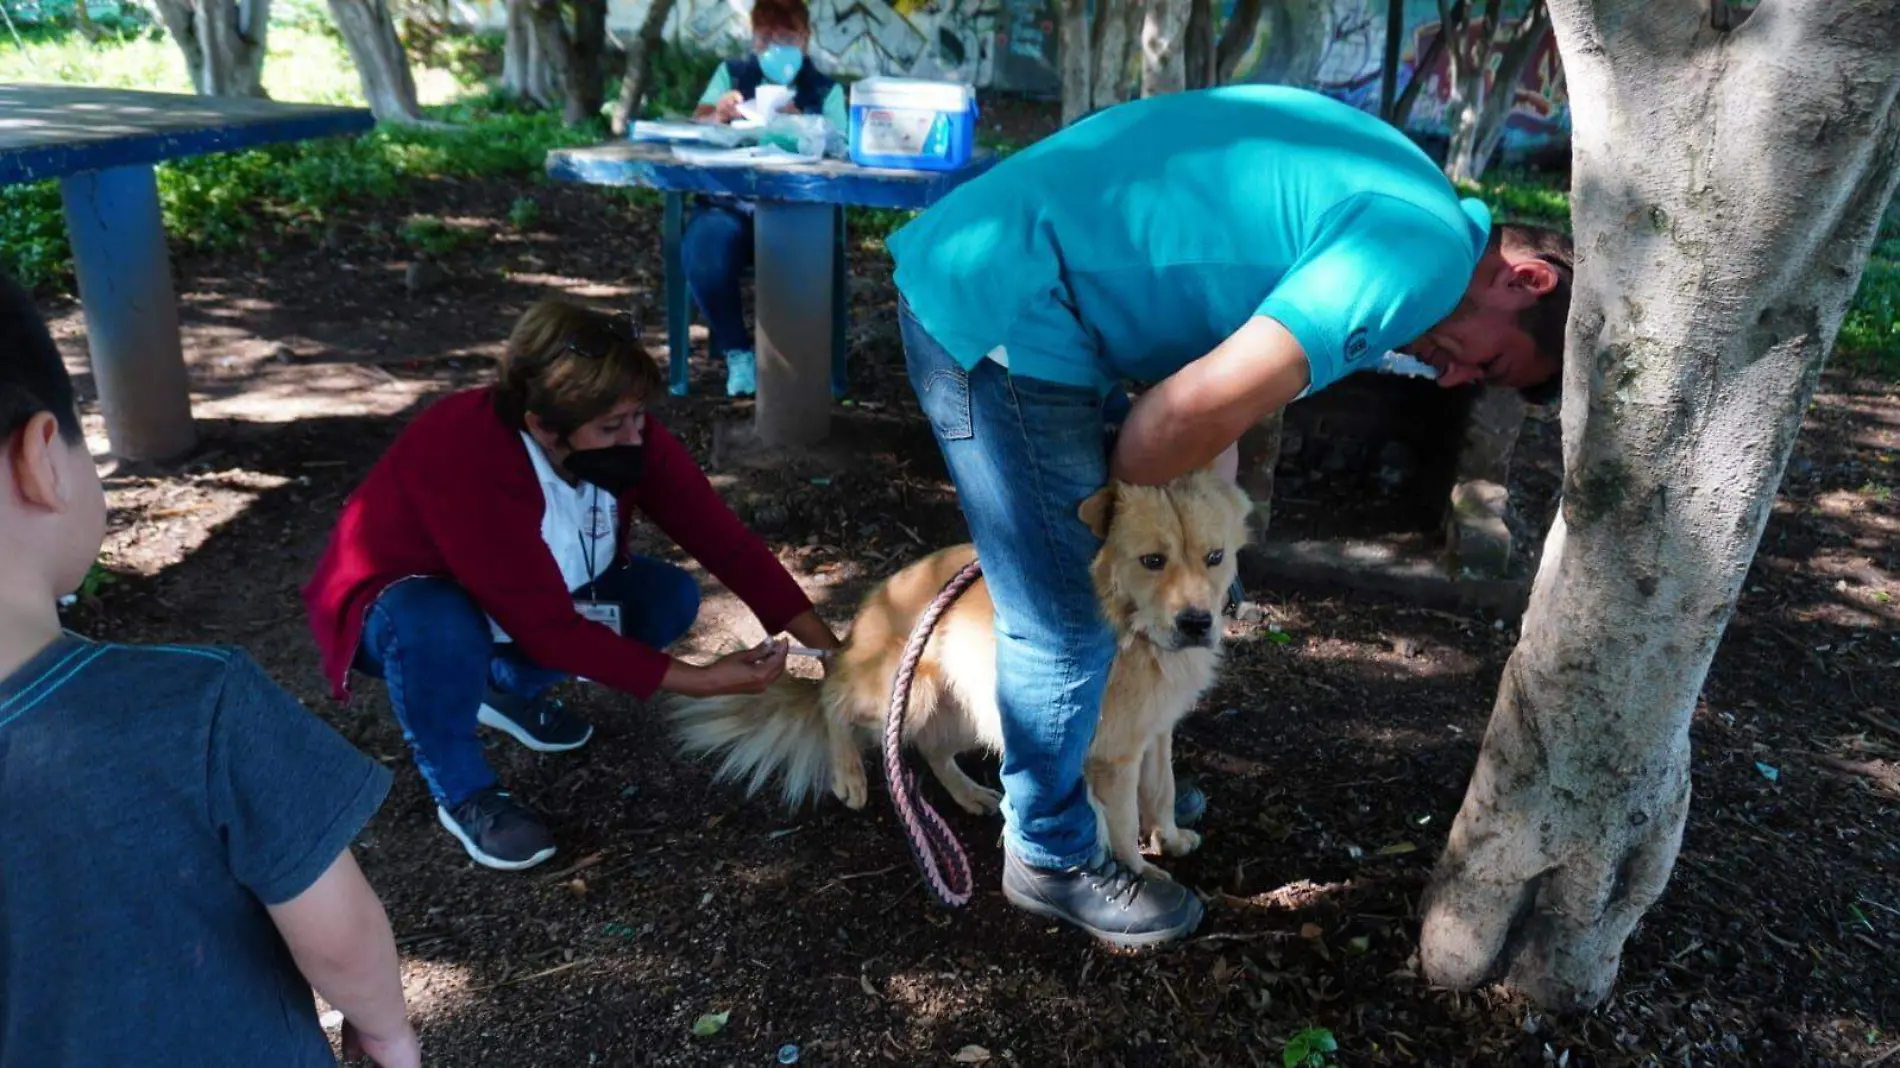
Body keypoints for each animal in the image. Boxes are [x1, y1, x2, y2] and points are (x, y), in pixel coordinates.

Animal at [661, 465, 1254, 874]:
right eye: (1152, 561)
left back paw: (969, 794)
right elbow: (1126, 818)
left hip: (985, 709)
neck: (1130, 628)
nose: (1196, 623)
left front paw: (1170, 839)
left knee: (931, 748)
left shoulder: (1154, 733)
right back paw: (848, 774)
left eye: (1215, 557)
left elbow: (1161, 790)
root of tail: (859, 625)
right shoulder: (1114, 755)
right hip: (912, 688)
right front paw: (1139, 877)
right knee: (835, 698)